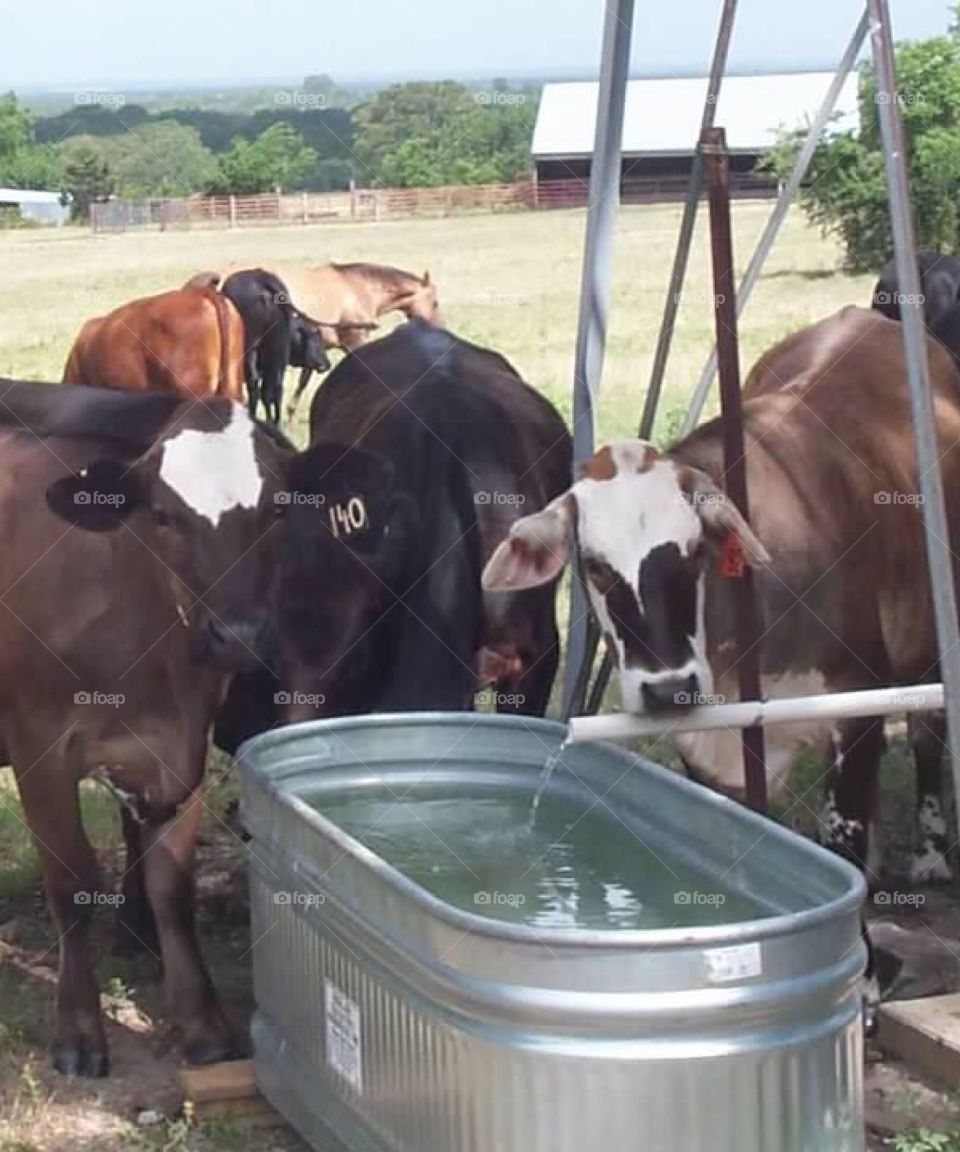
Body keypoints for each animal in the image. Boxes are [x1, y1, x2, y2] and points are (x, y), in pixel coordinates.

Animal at [0, 380, 292, 1077]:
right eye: (162, 514)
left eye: (276, 511)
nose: (238, 635)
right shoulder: (37, 745)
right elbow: (72, 881)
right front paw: (79, 1031)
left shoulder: (180, 747)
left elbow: (171, 886)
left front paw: (203, 1025)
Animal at [483, 306, 960, 888]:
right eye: (593, 565)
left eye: (695, 552)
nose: (669, 690)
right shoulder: (703, 752)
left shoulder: (857, 709)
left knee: (928, 735)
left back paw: (932, 854)